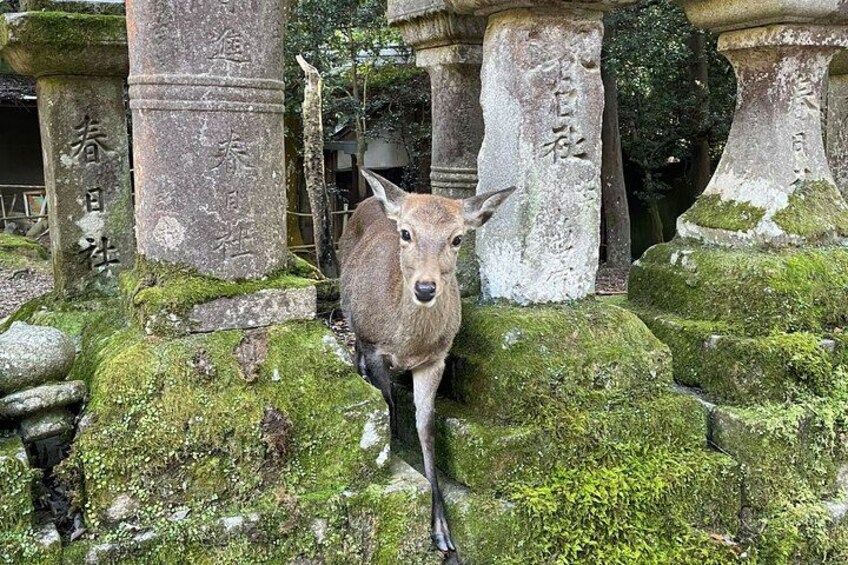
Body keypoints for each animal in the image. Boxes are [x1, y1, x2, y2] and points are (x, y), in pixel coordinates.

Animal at [340, 169, 515, 553]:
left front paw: (442, 530)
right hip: (351, 316)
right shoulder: (375, 347)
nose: (425, 288)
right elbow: (390, 406)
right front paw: (393, 450)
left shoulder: (436, 360)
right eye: (406, 233)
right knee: (356, 350)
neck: (407, 342)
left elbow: (426, 427)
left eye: (457, 238)